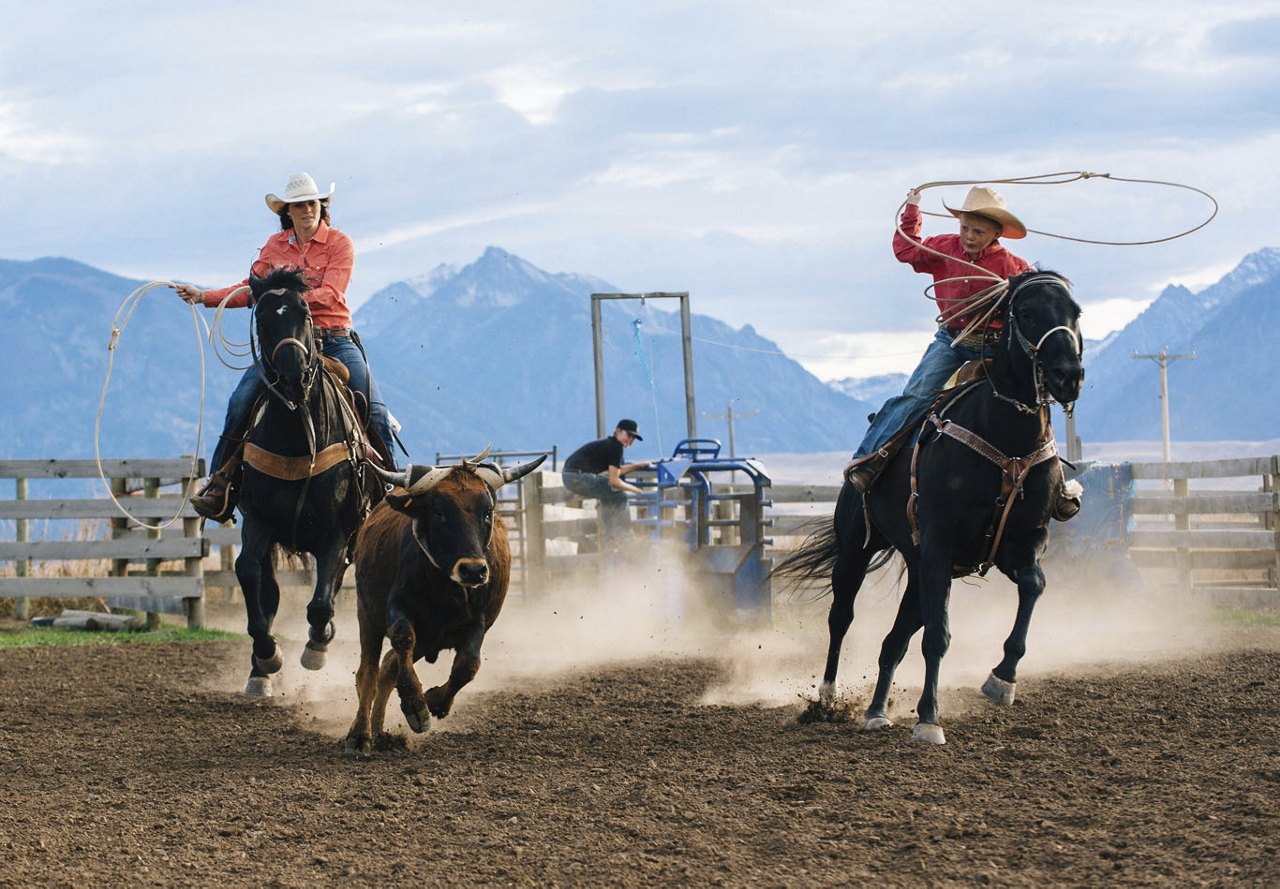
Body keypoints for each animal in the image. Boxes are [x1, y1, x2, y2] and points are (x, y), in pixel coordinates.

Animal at [235, 267, 381, 700]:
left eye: (305, 311)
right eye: (263, 318)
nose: (294, 375)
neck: (298, 435)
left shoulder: (339, 530)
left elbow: (321, 600)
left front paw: (317, 646)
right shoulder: (258, 520)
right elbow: (248, 573)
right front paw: (266, 657)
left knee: (329, 587)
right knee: (270, 591)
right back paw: (260, 672)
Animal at [773, 269, 1085, 741]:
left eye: (1076, 312)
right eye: (1028, 313)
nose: (1069, 374)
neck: (1005, 438)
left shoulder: (1022, 542)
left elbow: (1034, 585)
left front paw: (1002, 679)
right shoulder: (940, 542)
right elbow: (938, 636)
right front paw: (928, 719)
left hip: (919, 569)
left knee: (893, 641)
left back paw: (876, 710)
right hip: (857, 549)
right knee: (841, 617)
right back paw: (828, 697)